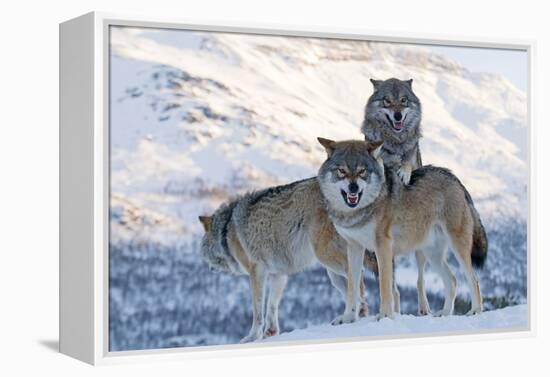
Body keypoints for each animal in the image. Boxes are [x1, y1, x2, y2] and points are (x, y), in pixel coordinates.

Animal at [198, 178, 380, 342]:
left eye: (203, 249)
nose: (208, 268)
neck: (226, 231)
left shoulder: (257, 272)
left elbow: (258, 310)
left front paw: (252, 337)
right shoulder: (278, 274)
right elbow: (272, 305)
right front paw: (270, 333)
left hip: (326, 256)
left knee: (358, 278)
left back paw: (354, 315)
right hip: (333, 274)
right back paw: (357, 314)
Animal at [316, 138, 490, 324]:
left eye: (362, 171)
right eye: (341, 171)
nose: (353, 188)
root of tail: (455, 179)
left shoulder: (383, 246)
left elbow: (385, 287)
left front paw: (385, 316)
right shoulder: (354, 247)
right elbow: (352, 289)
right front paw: (348, 317)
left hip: (457, 247)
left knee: (474, 279)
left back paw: (475, 311)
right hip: (432, 254)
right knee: (452, 280)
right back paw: (444, 312)